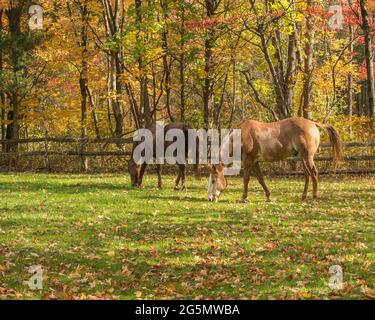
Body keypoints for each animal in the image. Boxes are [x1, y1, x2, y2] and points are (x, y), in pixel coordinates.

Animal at [207, 117, 346, 202]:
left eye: (213, 180)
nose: (210, 198)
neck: (240, 136)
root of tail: (313, 123)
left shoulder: (248, 161)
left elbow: (246, 179)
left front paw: (244, 198)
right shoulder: (255, 162)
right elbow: (260, 179)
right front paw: (268, 196)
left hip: (307, 157)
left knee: (314, 173)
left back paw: (314, 197)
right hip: (302, 158)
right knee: (307, 175)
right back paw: (303, 197)